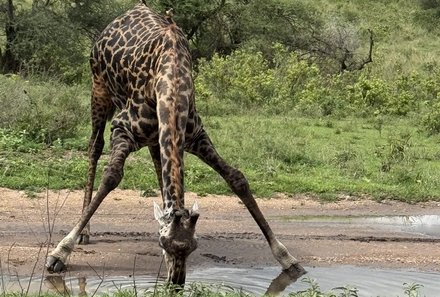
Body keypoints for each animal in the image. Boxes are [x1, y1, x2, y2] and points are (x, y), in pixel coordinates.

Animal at [45, 1, 306, 284]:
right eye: (164, 244)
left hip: (154, 135)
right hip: (99, 89)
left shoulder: (196, 135)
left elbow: (237, 178)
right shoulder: (122, 128)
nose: (176, 283)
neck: (171, 82)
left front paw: (287, 257)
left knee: (158, 166)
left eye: (192, 247)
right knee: (94, 147)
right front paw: (60, 252)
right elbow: (111, 176)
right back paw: (85, 232)